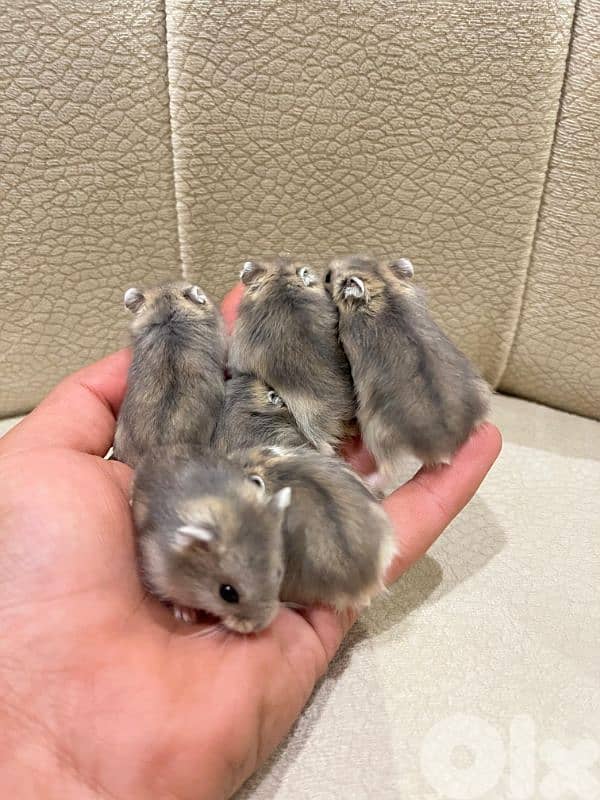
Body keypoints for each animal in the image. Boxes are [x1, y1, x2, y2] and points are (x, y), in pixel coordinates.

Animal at [326, 254, 490, 491]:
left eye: (328, 276)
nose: (329, 263)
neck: (383, 288)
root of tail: (446, 449)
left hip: (376, 431)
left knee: (386, 471)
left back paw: (364, 479)